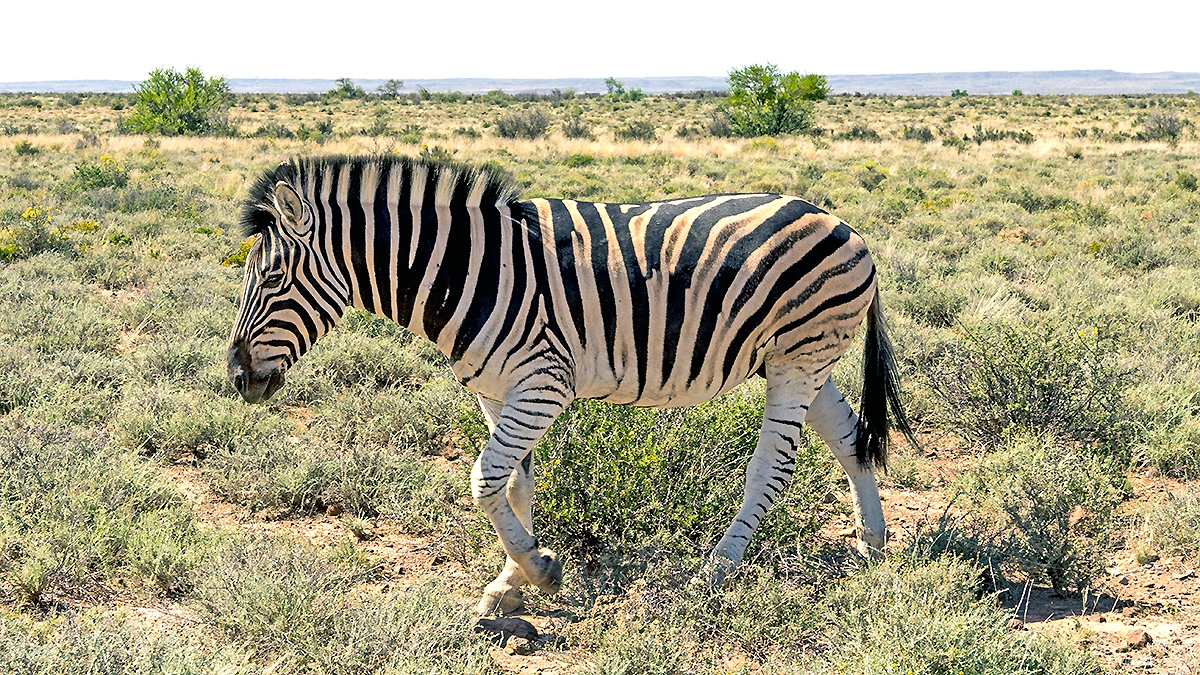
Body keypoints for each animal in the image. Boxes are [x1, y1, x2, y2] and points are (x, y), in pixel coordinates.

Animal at [227, 155, 916, 615]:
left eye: (274, 278)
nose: (236, 379)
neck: (465, 273)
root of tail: (841, 222)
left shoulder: (543, 382)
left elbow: (483, 480)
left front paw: (538, 571)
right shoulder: (497, 387)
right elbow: (513, 484)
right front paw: (509, 585)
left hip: (800, 356)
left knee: (772, 468)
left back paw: (716, 571)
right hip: (798, 358)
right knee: (851, 437)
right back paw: (874, 545)